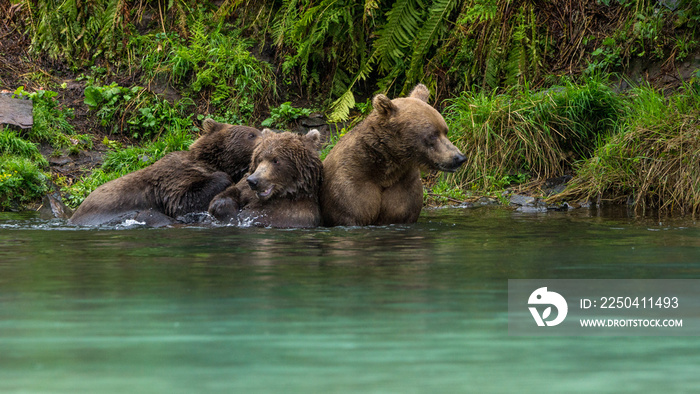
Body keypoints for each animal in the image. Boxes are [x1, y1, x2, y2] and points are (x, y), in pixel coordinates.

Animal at [69, 118, 262, 226]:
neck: (210, 161)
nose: (264, 135)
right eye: (251, 134)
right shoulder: (173, 177)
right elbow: (182, 201)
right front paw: (224, 177)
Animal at [322, 84, 464, 226]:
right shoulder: (352, 180)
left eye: (445, 131)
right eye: (432, 135)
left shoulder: (404, 183)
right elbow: (353, 210)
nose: (459, 157)